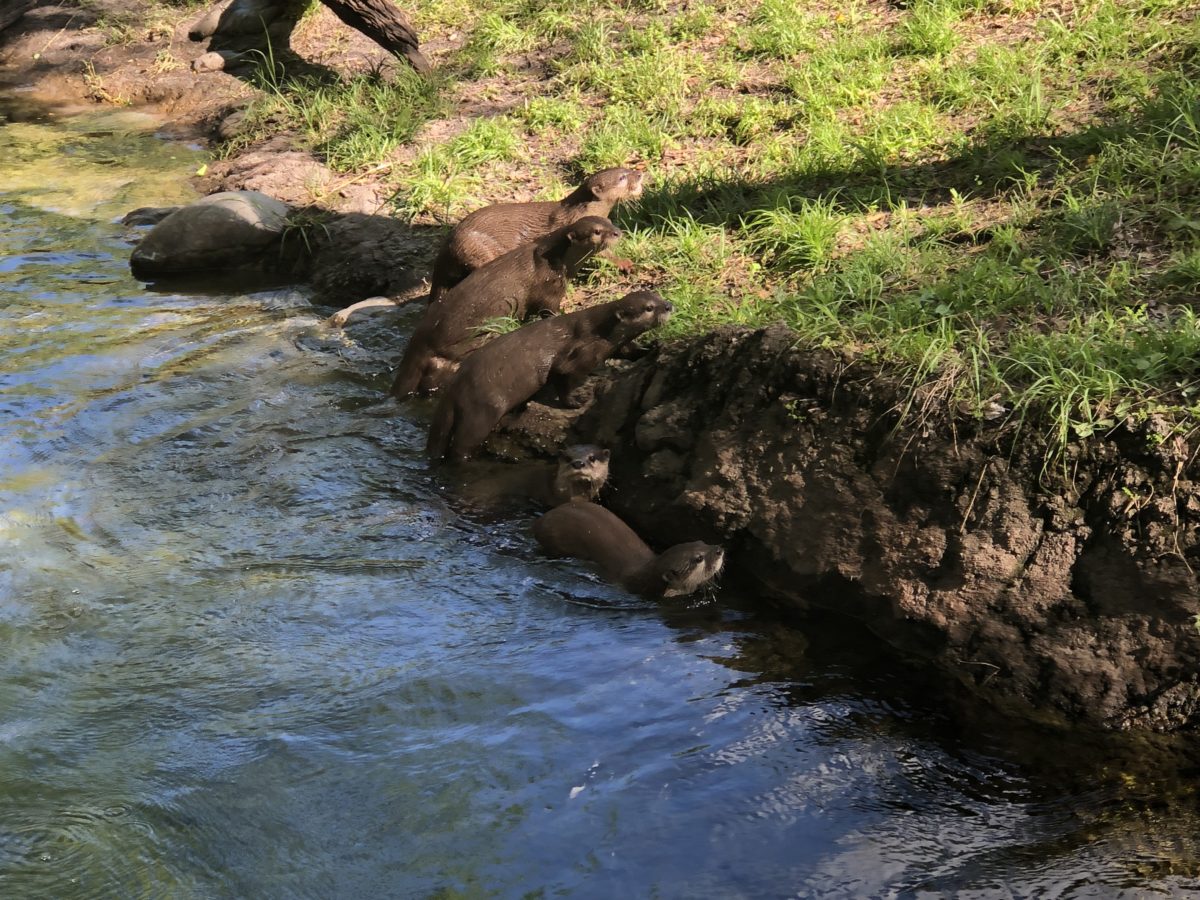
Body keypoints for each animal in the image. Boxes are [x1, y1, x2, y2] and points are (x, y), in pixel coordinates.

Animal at [389, 216, 623, 398]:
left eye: (609, 221)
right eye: (597, 231)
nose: (618, 232)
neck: (554, 261)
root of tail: (420, 343)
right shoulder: (549, 289)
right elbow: (549, 312)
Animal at [426, 291, 672, 463]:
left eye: (658, 296)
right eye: (649, 308)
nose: (669, 305)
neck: (603, 332)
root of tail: (454, 389)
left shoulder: (615, 345)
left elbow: (629, 351)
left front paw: (652, 346)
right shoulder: (580, 353)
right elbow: (564, 376)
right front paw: (576, 401)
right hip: (482, 409)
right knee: (462, 443)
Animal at [429, 168, 644, 302]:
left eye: (627, 168)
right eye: (622, 177)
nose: (640, 173)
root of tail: (447, 246)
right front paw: (625, 263)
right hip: (477, 249)